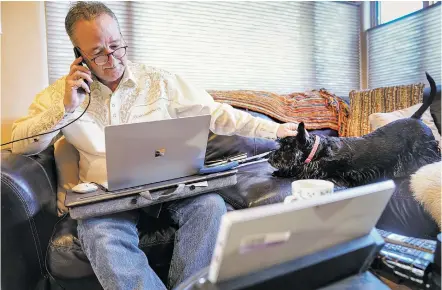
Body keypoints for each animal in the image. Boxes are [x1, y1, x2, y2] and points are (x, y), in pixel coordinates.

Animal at [268, 72, 440, 188]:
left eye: (287, 147)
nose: (270, 159)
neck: (318, 150)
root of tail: (415, 118)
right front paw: (281, 172)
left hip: (425, 150)